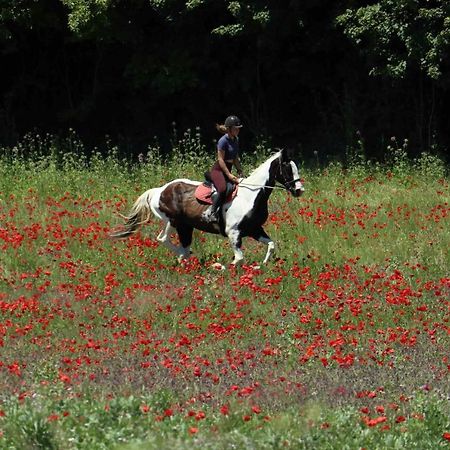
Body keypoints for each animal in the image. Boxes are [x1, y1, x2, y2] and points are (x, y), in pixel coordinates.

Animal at [110, 148, 304, 268]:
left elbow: (271, 245)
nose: (299, 190)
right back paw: (186, 257)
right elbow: (239, 258)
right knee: (163, 239)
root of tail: (159, 190)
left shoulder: (254, 229)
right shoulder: (234, 232)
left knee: (180, 244)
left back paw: (186, 259)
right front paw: (220, 267)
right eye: (287, 168)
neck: (251, 196)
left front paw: (260, 266)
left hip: (185, 226)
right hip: (174, 221)